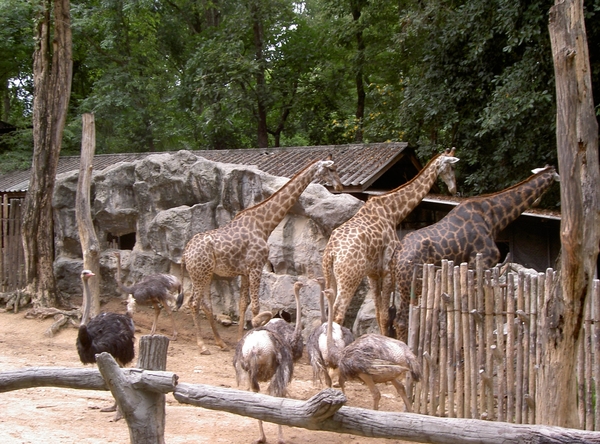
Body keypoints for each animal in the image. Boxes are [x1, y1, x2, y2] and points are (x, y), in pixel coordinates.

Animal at [180, 158, 342, 356]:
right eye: (331, 169)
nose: (339, 186)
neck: (264, 224)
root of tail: (185, 253)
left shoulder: (244, 271)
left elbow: (243, 304)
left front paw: (239, 339)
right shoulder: (256, 266)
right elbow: (255, 306)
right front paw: (256, 330)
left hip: (206, 275)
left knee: (206, 305)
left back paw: (220, 343)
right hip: (200, 274)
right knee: (193, 303)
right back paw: (202, 346)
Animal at [324, 147, 460, 334]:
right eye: (452, 167)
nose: (454, 189)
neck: (392, 212)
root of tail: (331, 253)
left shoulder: (372, 274)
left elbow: (378, 313)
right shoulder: (388, 270)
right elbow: (385, 314)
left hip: (329, 276)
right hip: (350, 278)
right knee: (338, 312)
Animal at [392, 165, 560, 342]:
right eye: (556, 173)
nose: (539, 201)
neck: (495, 218)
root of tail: (397, 254)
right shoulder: (481, 263)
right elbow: (479, 307)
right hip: (410, 284)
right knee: (402, 320)